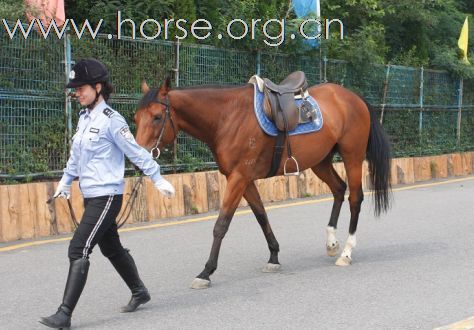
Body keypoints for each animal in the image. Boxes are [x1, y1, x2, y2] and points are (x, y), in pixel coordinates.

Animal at [134, 77, 392, 288]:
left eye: (157, 117)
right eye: (136, 118)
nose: (138, 161)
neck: (227, 117)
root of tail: (354, 97)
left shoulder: (239, 178)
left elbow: (221, 224)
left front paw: (206, 271)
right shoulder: (244, 180)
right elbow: (261, 216)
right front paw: (274, 257)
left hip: (352, 156)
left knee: (355, 198)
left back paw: (346, 253)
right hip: (320, 161)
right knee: (339, 189)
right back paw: (331, 243)